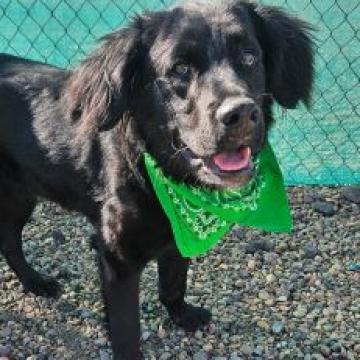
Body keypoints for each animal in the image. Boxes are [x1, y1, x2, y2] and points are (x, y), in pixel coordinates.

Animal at [0, 1, 314, 358]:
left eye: (249, 56)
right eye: (180, 68)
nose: (241, 115)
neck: (160, 174)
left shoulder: (176, 238)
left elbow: (174, 281)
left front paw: (181, 314)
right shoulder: (117, 260)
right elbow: (126, 330)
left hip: (21, 195)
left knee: (8, 240)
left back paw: (33, 281)